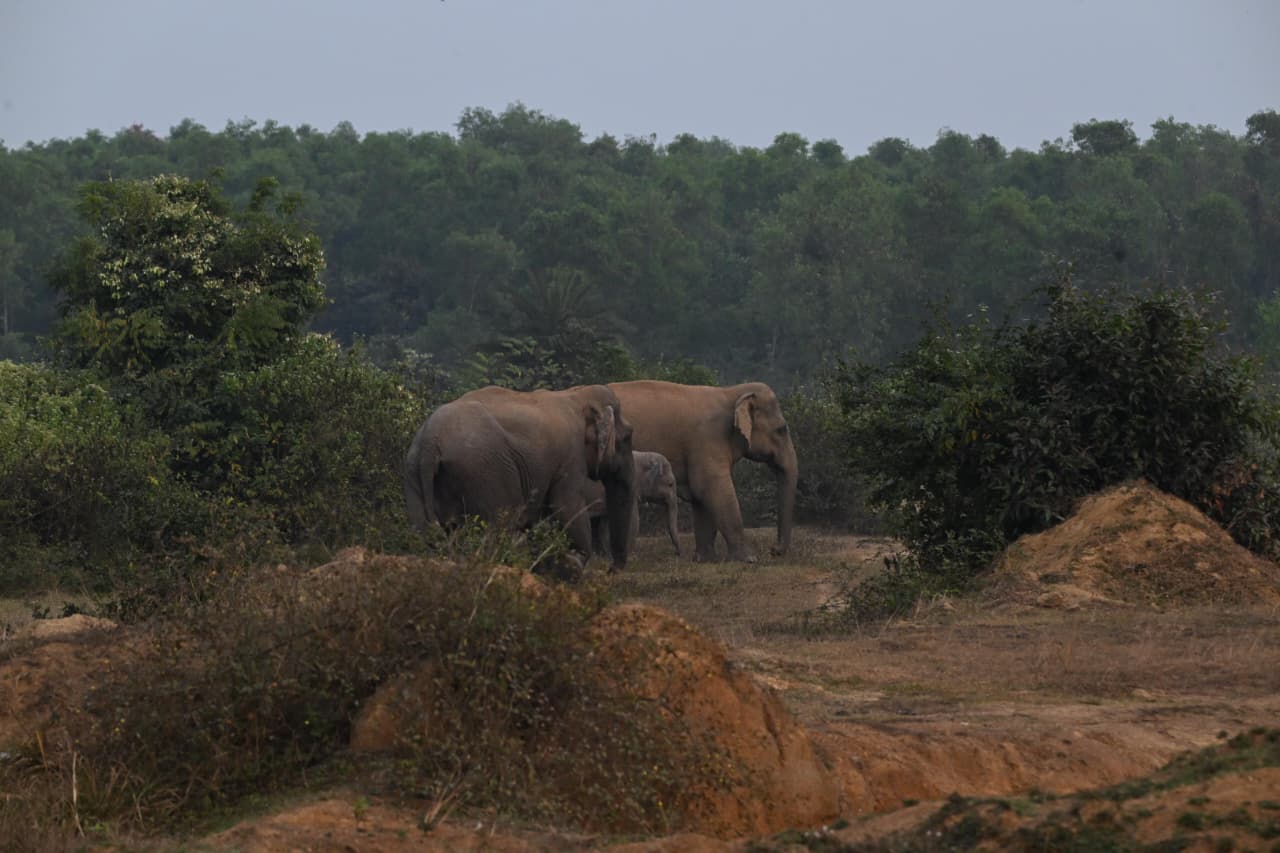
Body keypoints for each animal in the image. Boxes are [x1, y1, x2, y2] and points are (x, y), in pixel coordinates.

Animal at [404, 384, 637, 572]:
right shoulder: (570, 459)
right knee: (495, 531)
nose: (611, 570)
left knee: (423, 535)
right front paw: (573, 563)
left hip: (414, 473)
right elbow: (566, 508)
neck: (576, 395)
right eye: (628, 437)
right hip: (484, 473)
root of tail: (430, 442)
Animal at [608, 380, 797, 563]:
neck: (731, 392)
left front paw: (706, 559)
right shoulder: (707, 440)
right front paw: (749, 559)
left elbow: (700, 496)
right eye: (781, 429)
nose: (774, 550)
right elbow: (711, 488)